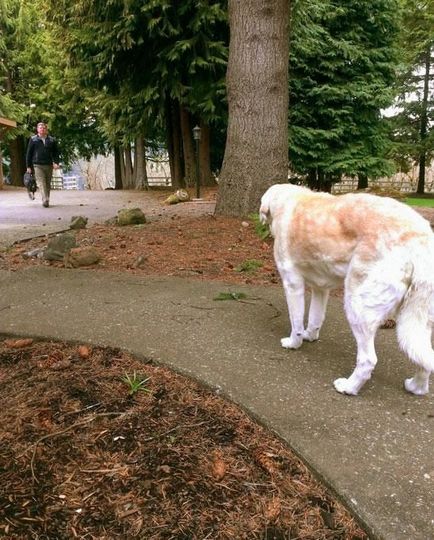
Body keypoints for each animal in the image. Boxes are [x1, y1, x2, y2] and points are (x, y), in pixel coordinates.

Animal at [260, 184, 434, 394]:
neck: (287, 200)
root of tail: (420, 240)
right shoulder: (320, 288)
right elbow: (315, 318)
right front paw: (310, 336)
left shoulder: (292, 283)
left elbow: (297, 323)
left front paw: (294, 343)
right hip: (418, 320)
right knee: (424, 359)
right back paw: (416, 387)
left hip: (357, 306)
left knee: (368, 360)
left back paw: (349, 387)